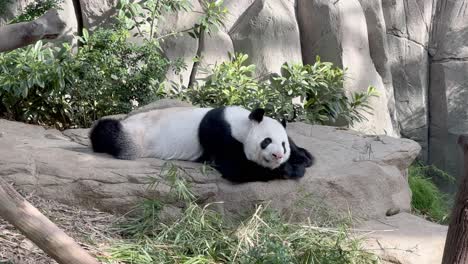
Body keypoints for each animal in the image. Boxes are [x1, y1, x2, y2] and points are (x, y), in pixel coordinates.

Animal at [89, 104, 312, 182]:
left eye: (283, 144)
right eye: (266, 141)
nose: (278, 156)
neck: (240, 124)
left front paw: (303, 156)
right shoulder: (220, 136)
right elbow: (237, 169)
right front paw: (291, 169)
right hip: (134, 136)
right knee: (107, 132)